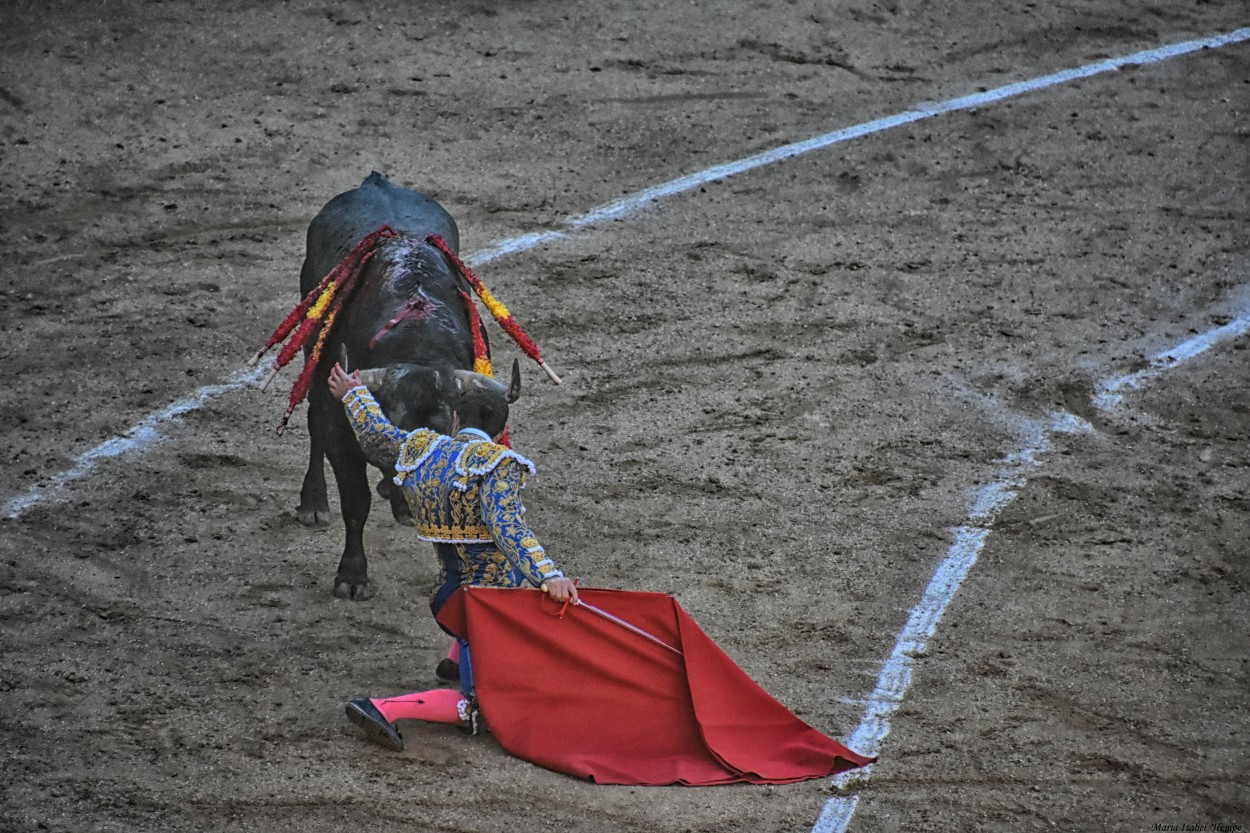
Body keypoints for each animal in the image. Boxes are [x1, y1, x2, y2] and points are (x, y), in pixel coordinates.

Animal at [287, 170, 517, 597]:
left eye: (444, 430)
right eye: (393, 424)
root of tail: (376, 182)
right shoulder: (339, 426)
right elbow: (355, 503)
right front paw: (352, 577)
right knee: (312, 421)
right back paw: (314, 504)